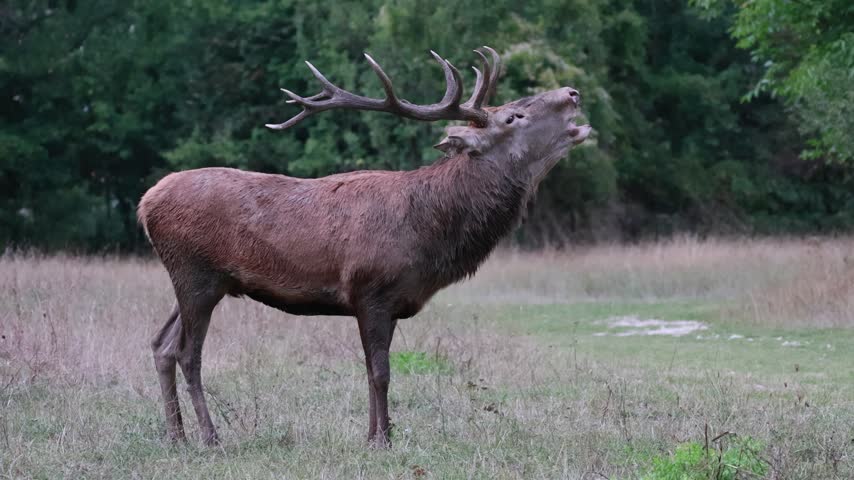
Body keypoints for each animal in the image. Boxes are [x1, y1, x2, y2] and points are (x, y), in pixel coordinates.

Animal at [138, 46, 591, 448]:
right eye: (514, 115)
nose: (572, 92)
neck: (429, 234)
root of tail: (146, 203)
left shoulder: (389, 302)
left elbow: (372, 369)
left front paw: (371, 435)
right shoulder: (371, 289)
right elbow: (380, 372)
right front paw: (383, 441)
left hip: (199, 280)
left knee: (161, 344)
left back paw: (176, 437)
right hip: (196, 273)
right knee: (187, 353)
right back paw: (210, 437)